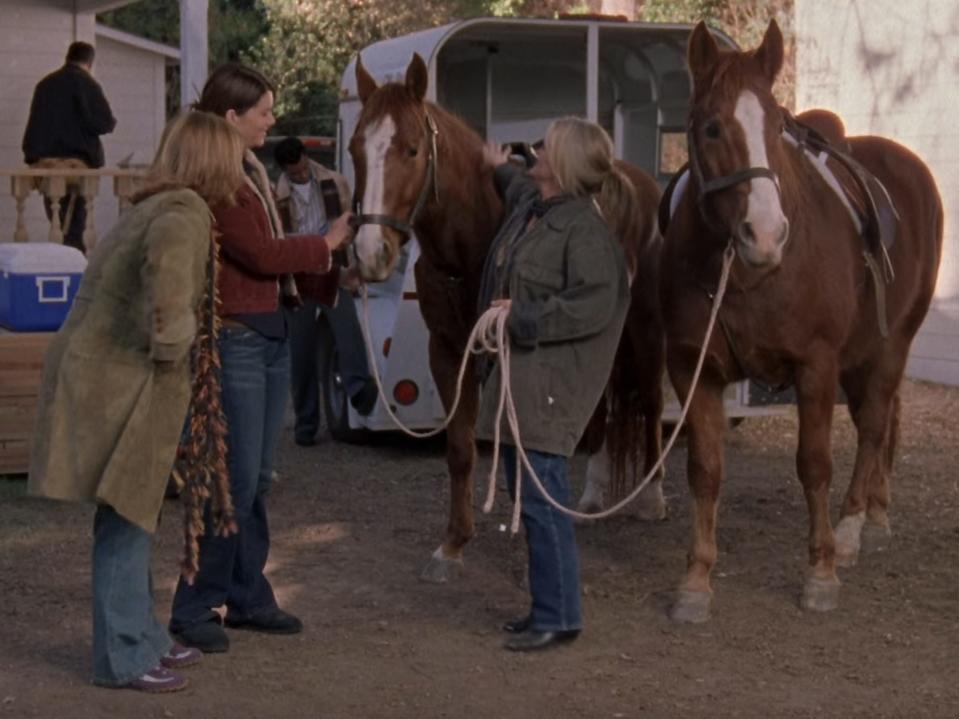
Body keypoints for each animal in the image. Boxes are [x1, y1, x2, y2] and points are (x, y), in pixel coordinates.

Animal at [350, 53, 668, 584]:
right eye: (356, 149)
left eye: (412, 150)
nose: (372, 253)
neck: (474, 234)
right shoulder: (448, 350)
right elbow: (460, 449)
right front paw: (453, 545)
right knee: (601, 407)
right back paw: (591, 495)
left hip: (645, 336)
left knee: (651, 404)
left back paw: (654, 497)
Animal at [664, 19, 940, 620]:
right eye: (711, 128)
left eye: (776, 127)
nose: (765, 235)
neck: (746, 275)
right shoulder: (694, 369)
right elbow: (705, 470)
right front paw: (695, 579)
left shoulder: (816, 366)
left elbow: (814, 464)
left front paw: (821, 571)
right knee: (877, 424)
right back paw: (876, 513)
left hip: (892, 346)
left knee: (873, 426)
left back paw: (856, 526)